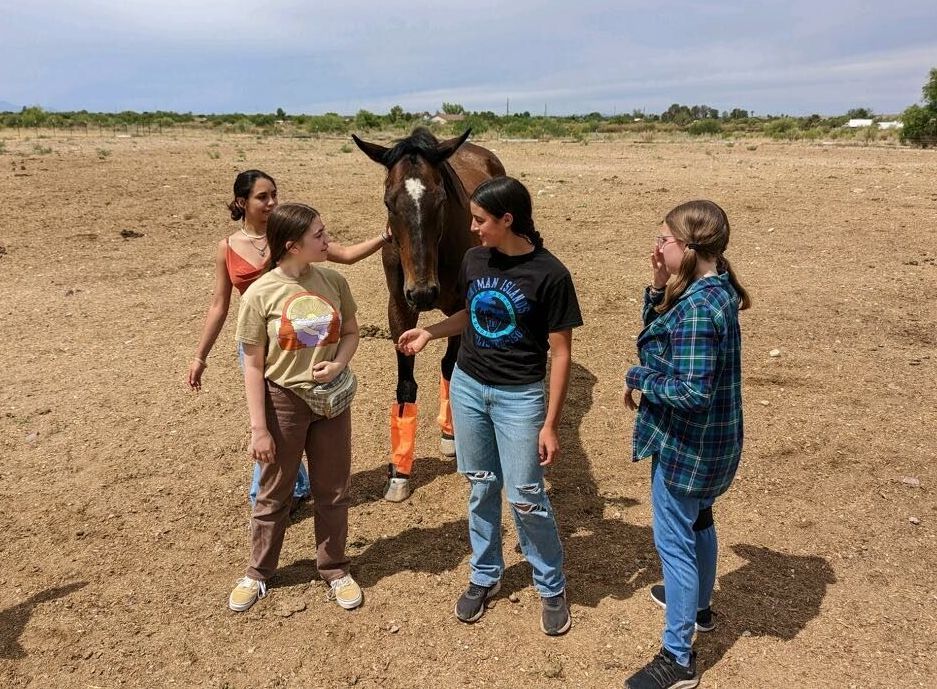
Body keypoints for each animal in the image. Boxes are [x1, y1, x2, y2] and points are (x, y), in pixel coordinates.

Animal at [352, 126, 504, 500]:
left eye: (440, 199)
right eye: (388, 202)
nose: (422, 293)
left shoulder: (461, 306)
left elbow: (450, 367)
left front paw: (450, 434)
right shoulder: (399, 307)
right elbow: (405, 385)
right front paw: (398, 473)